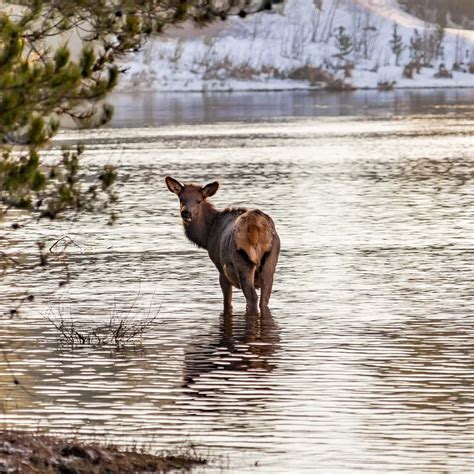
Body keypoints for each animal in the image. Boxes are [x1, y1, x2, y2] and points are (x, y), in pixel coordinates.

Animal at [166, 176, 280, 312]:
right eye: (181, 198)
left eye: (199, 200)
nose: (186, 212)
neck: (207, 236)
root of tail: (257, 226)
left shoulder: (220, 268)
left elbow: (227, 302)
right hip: (270, 263)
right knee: (264, 299)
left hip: (242, 262)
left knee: (252, 298)